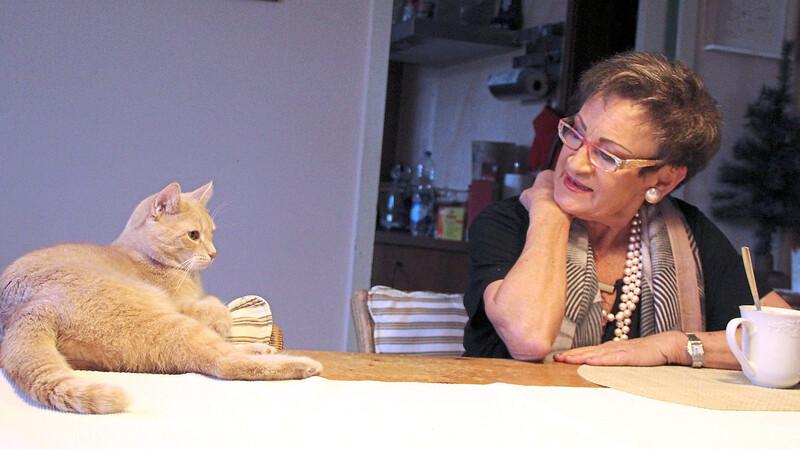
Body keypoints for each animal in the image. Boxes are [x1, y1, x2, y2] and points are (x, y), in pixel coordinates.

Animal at [2, 180, 324, 412]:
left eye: (212, 234)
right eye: (194, 235)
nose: (214, 253)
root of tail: (28, 308)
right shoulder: (183, 306)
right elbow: (215, 310)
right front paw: (219, 311)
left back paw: (262, 349)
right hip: (169, 322)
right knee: (223, 362)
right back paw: (302, 364)